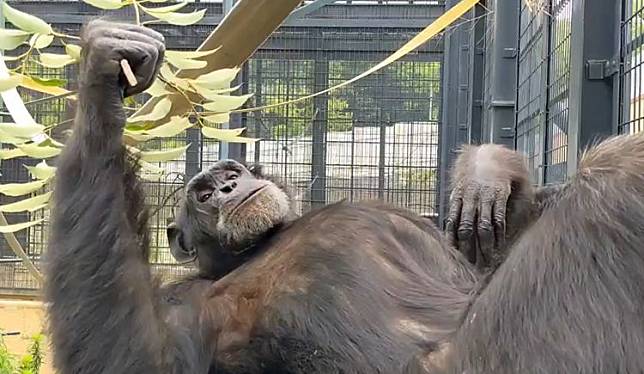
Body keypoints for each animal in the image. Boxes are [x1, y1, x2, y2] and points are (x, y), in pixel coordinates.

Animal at [44, 21, 644, 374]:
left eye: (230, 171)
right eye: (205, 193)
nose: (230, 185)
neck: (262, 243)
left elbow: (477, 248)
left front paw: (485, 173)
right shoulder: (183, 301)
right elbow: (141, 356)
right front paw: (101, 78)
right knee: (616, 174)